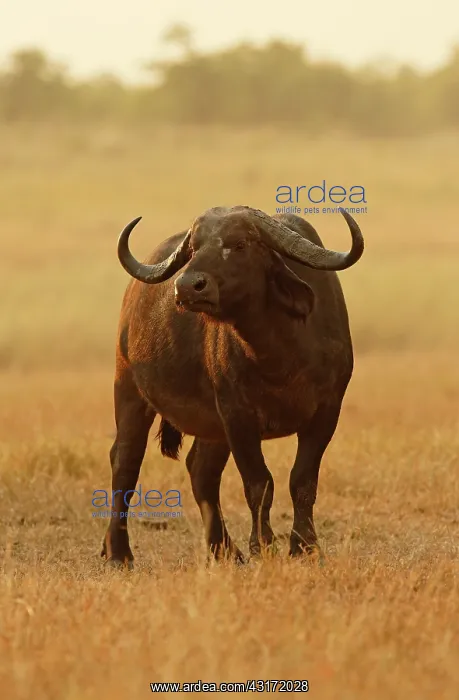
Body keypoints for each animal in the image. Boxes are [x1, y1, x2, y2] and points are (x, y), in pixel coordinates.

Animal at [101, 206, 364, 567]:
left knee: (200, 471)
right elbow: (259, 482)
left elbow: (302, 481)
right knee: (125, 462)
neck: (279, 355)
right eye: (194, 247)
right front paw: (262, 545)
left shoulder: (326, 413)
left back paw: (223, 549)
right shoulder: (237, 415)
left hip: (209, 428)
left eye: (240, 244)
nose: (187, 287)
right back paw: (119, 552)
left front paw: (304, 547)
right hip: (129, 390)